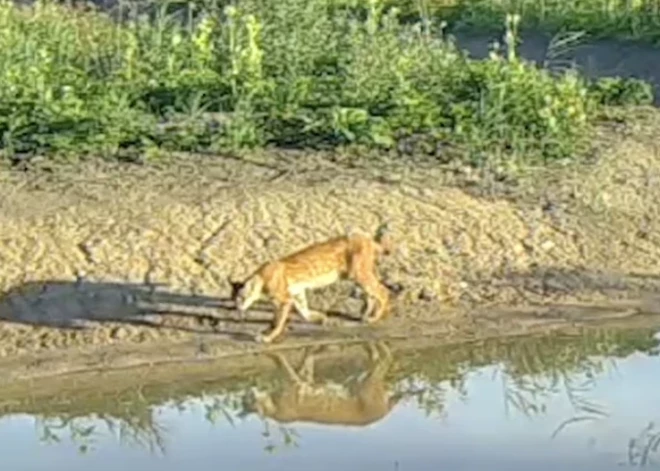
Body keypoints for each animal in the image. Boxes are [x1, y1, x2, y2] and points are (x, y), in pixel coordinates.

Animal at [228, 223, 392, 344]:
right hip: (356, 276)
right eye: (234, 299)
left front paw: (267, 337)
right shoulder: (297, 293)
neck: (260, 279)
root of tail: (367, 238)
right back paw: (365, 315)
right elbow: (304, 312)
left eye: (240, 298)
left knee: (383, 291)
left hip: (359, 274)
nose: (238, 307)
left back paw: (374, 317)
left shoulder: (285, 300)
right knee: (371, 295)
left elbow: (278, 322)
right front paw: (321, 318)